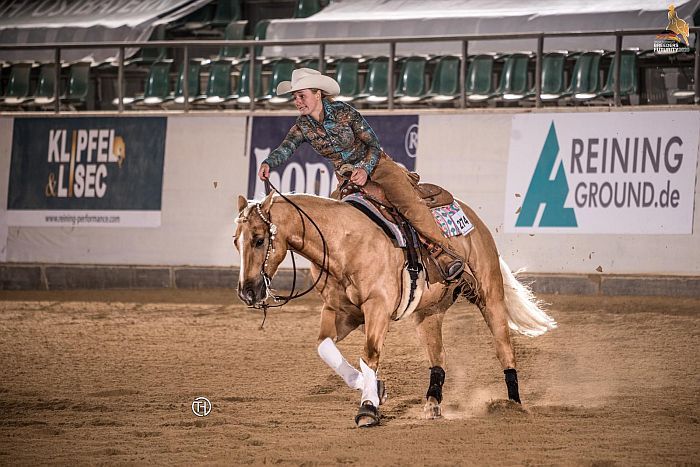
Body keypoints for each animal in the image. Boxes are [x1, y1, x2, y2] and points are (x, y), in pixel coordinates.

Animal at [234, 190, 556, 427]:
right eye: (236, 242)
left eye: (259, 240)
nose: (247, 292)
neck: (345, 244)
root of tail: (474, 221)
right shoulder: (340, 312)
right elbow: (324, 347)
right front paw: (374, 389)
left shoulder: (377, 309)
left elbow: (370, 354)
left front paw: (367, 408)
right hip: (429, 313)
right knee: (438, 357)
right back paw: (432, 404)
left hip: (489, 296)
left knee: (504, 349)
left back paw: (513, 405)